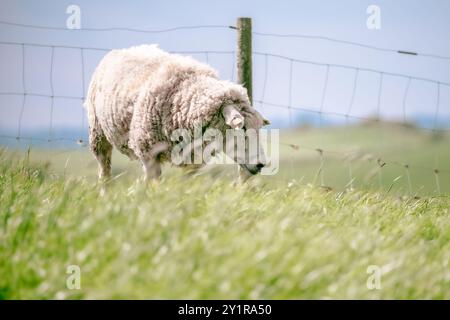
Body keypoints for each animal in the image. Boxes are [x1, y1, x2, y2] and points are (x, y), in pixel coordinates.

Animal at [84, 43, 268, 181]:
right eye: (242, 129)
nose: (261, 164)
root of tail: (121, 50)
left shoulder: (191, 159)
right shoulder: (148, 152)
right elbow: (152, 183)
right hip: (98, 133)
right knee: (104, 171)